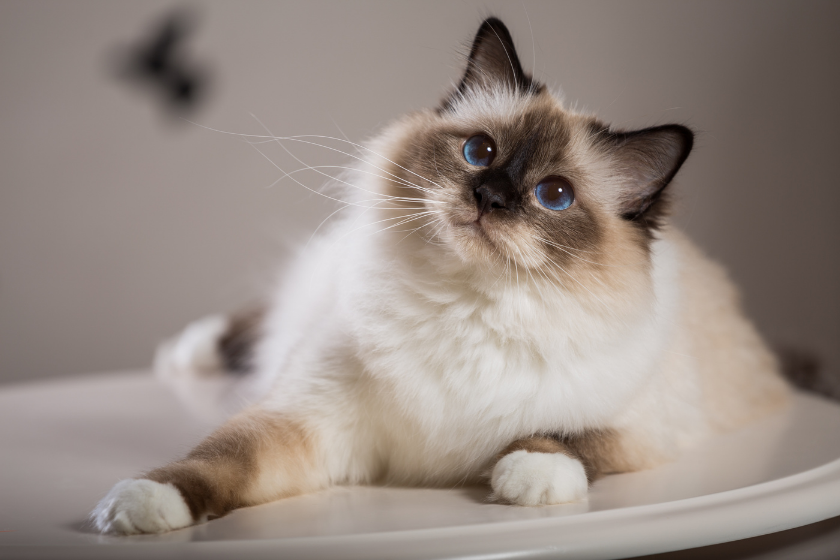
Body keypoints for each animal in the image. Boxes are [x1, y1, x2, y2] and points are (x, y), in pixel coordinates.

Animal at [93, 17, 796, 532]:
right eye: (479, 152)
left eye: (554, 195)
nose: (489, 197)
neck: (468, 305)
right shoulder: (308, 420)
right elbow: (214, 461)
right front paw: (140, 506)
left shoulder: (641, 428)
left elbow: (568, 437)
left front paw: (525, 480)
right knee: (252, 323)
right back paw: (185, 354)